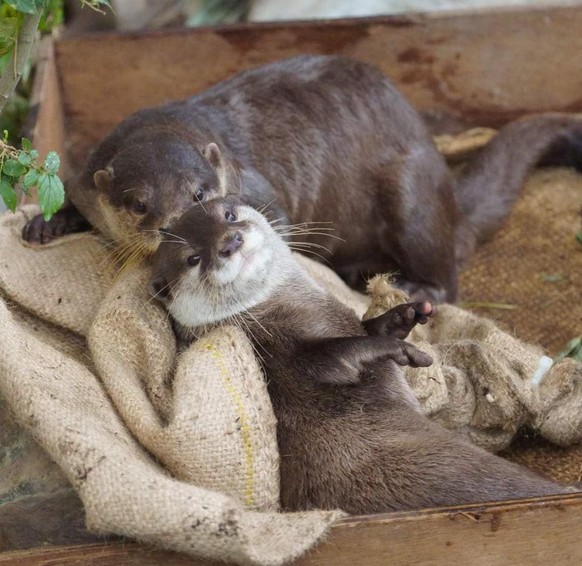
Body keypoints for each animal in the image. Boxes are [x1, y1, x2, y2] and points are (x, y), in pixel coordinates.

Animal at [149, 194, 572, 516]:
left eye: (229, 215)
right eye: (192, 258)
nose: (230, 241)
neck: (299, 311)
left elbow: (364, 329)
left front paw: (402, 316)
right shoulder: (274, 355)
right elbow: (331, 357)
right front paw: (396, 348)